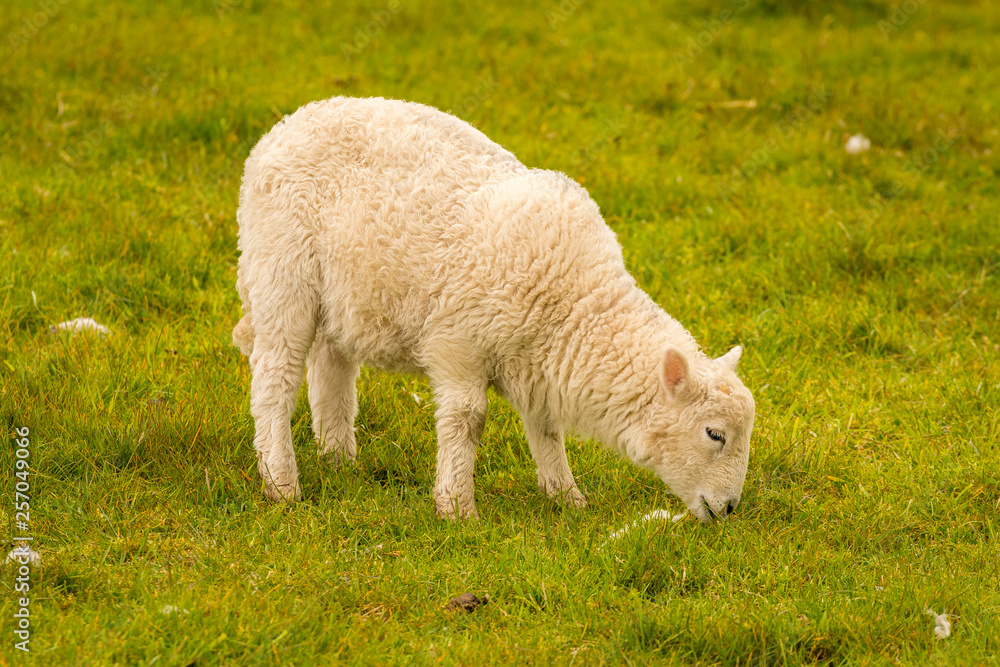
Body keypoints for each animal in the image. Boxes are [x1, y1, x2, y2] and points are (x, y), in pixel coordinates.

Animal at [233, 96, 755, 522]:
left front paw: (567, 497)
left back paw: (339, 459)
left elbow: (545, 429)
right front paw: (457, 508)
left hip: (343, 295)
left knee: (332, 368)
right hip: (281, 270)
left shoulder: (537, 363)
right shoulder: (457, 343)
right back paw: (282, 483)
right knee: (275, 378)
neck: (575, 305)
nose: (729, 509)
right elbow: (468, 420)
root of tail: (286, 125)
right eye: (714, 434)